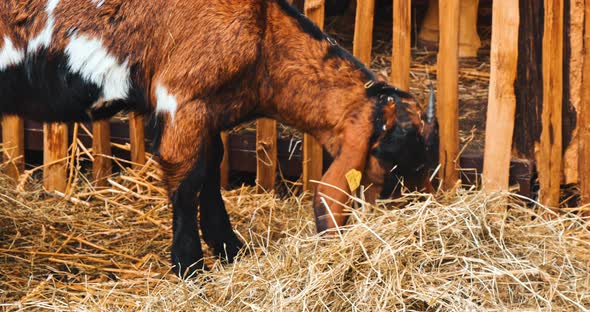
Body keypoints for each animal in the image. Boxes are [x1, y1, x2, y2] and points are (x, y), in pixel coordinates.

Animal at [0, 0, 440, 278]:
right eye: (392, 154)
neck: (264, 35)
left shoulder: (209, 112)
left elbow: (211, 171)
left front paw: (230, 249)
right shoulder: (183, 101)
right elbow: (187, 181)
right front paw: (190, 267)